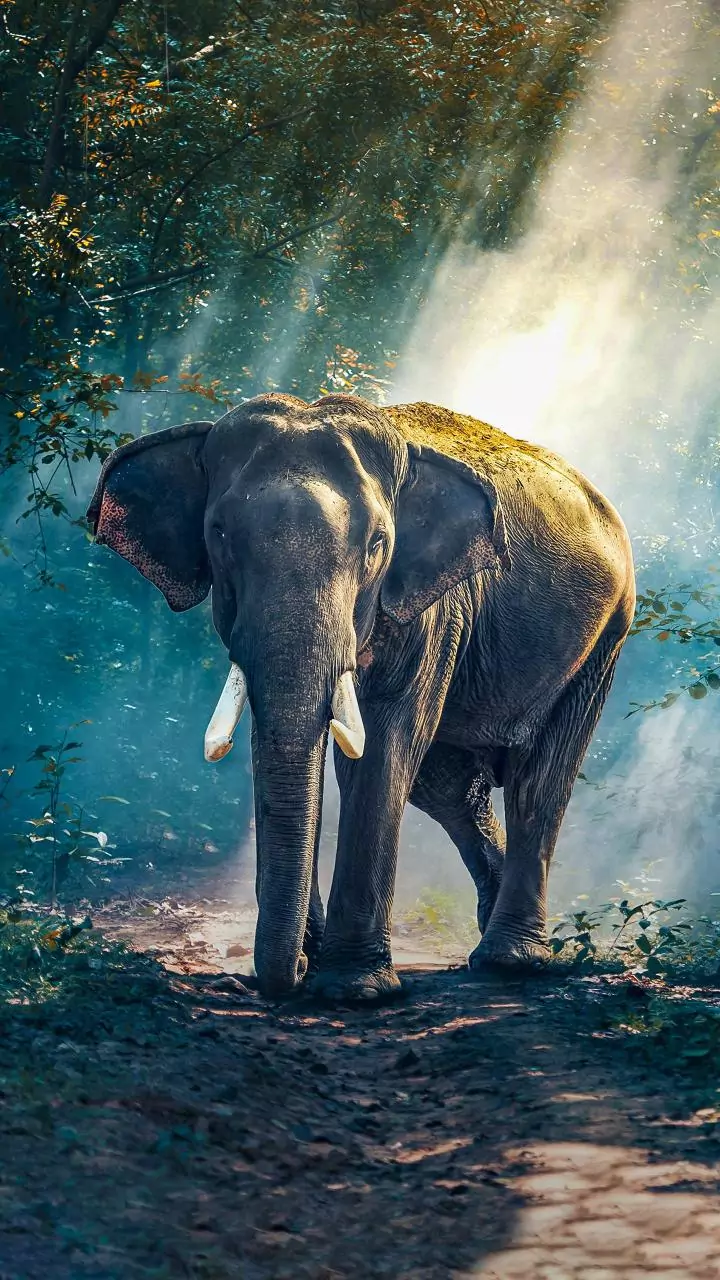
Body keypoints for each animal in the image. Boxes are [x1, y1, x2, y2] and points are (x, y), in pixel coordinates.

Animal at [87, 394, 635, 1001]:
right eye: (220, 534)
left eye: (377, 544)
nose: (289, 974)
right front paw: (316, 962)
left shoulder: (434, 608)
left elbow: (384, 746)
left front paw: (354, 988)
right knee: (448, 788)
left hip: (605, 637)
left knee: (538, 781)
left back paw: (509, 961)